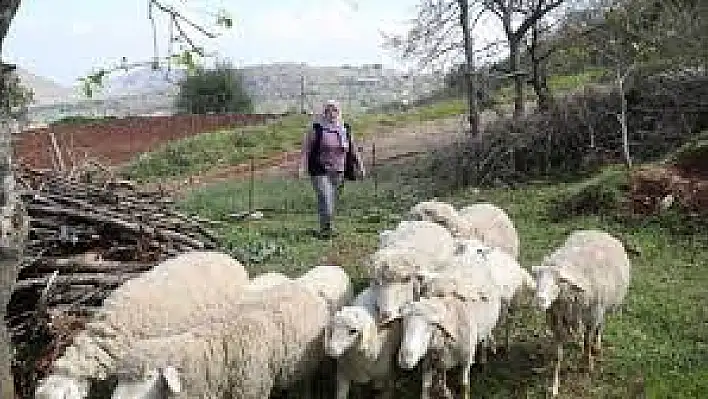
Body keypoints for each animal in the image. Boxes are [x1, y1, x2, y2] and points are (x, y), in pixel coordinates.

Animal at [110, 266, 352, 399]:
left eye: (149, 377)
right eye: (119, 378)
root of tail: (305, 287)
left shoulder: (251, 389)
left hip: (302, 363)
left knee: (302, 383)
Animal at [532, 230, 632, 398]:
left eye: (559, 281)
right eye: (537, 278)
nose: (540, 301)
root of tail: (597, 230)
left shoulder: (593, 314)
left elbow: (587, 341)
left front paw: (587, 364)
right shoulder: (556, 320)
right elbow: (558, 354)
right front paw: (555, 386)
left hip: (602, 307)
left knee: (600, 326)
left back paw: (596, 345)